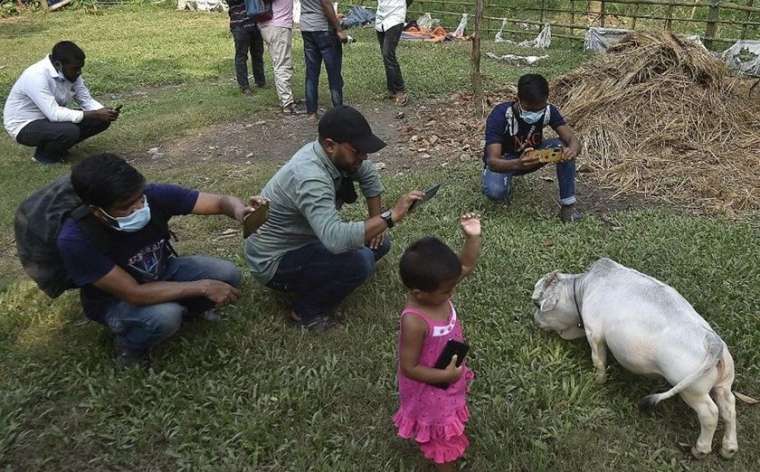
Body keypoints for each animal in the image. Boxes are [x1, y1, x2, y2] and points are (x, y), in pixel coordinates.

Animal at [532, 256, 756, 460]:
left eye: (536, 304)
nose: (535, 320)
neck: (584, 286)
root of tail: (712, 341)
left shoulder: (594, 334)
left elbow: (599, 361)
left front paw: (597, 381)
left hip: (693, 391)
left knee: (710, 413)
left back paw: (700, 449)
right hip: (723, 384)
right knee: (729, 407)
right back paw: (729, 448)